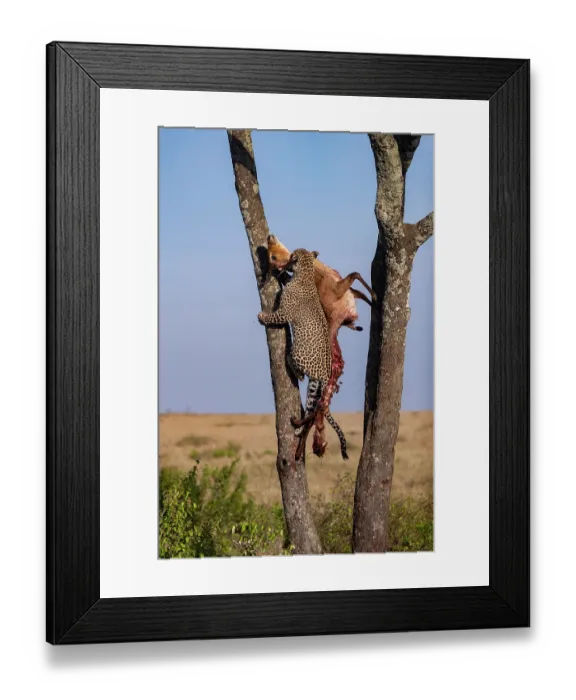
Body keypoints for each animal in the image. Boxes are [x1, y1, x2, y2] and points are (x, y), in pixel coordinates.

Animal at [257, 248, 348, 461]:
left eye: (292, 256)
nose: (288, 261)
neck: (305, 274)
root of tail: (325, 374)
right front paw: (278, 273)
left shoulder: (284, 312)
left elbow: (274, 316)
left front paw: (262, 316)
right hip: (314, 389)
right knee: (311, 412)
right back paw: (298, 429)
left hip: (298, 352)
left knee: (292, 361)